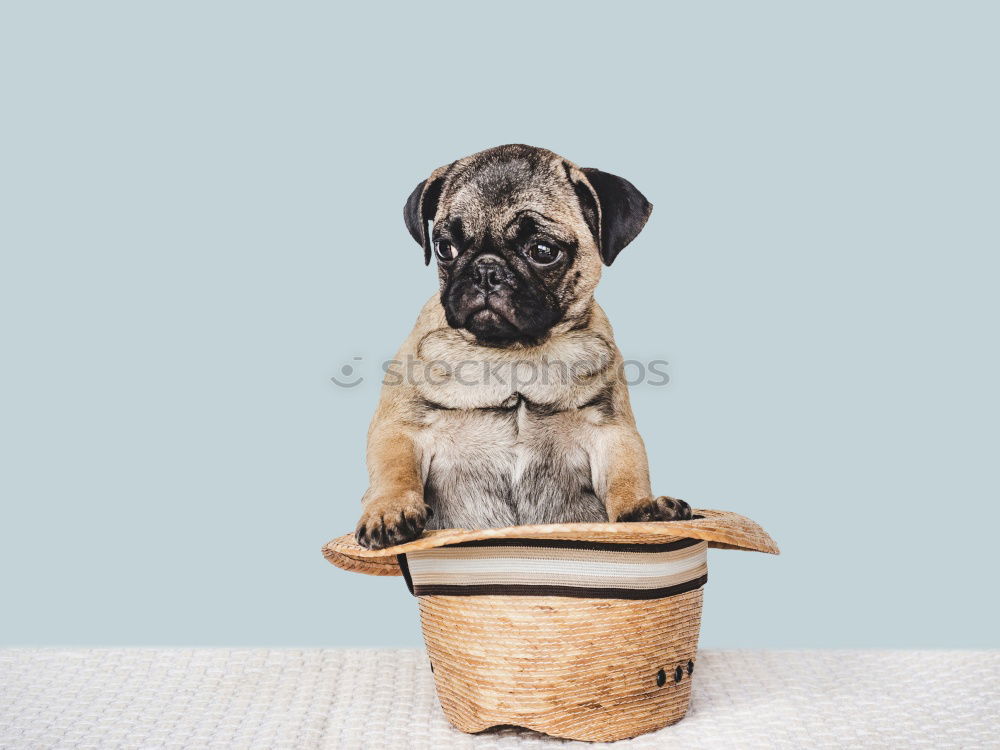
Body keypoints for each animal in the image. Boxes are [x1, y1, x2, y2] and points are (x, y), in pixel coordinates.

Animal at [356, 144, 692, 548]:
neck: (513, 354)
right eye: (444, 248)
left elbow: (626, 473)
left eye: (543, 251)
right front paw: (389, 512)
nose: (486, 270)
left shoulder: (610, 430)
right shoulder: (402, 428)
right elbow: (395, 471)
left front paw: (642, 507)